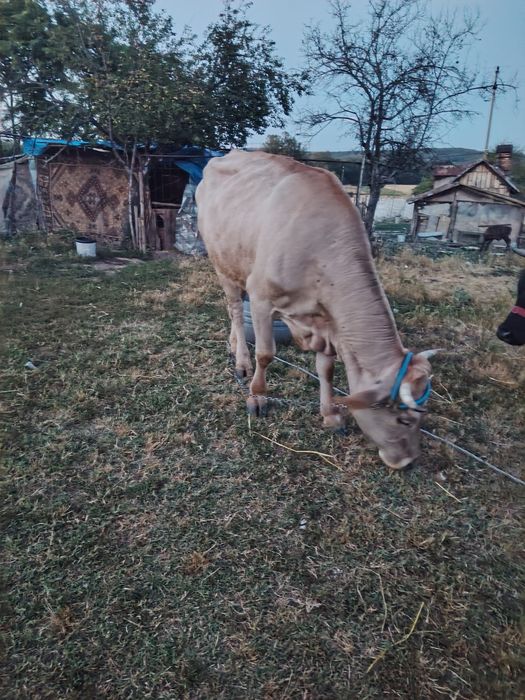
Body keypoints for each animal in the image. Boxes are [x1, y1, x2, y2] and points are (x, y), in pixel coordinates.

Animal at [196, 151, 438, 470]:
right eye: (404, 419)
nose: (409, 461)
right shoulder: (261, 297)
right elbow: (266, 354)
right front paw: (257, 398)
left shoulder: (328, 320)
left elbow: (327, 369)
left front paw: (331, 414)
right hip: (220, 261)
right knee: (235, 309)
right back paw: (242, 361)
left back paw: (234, 345)